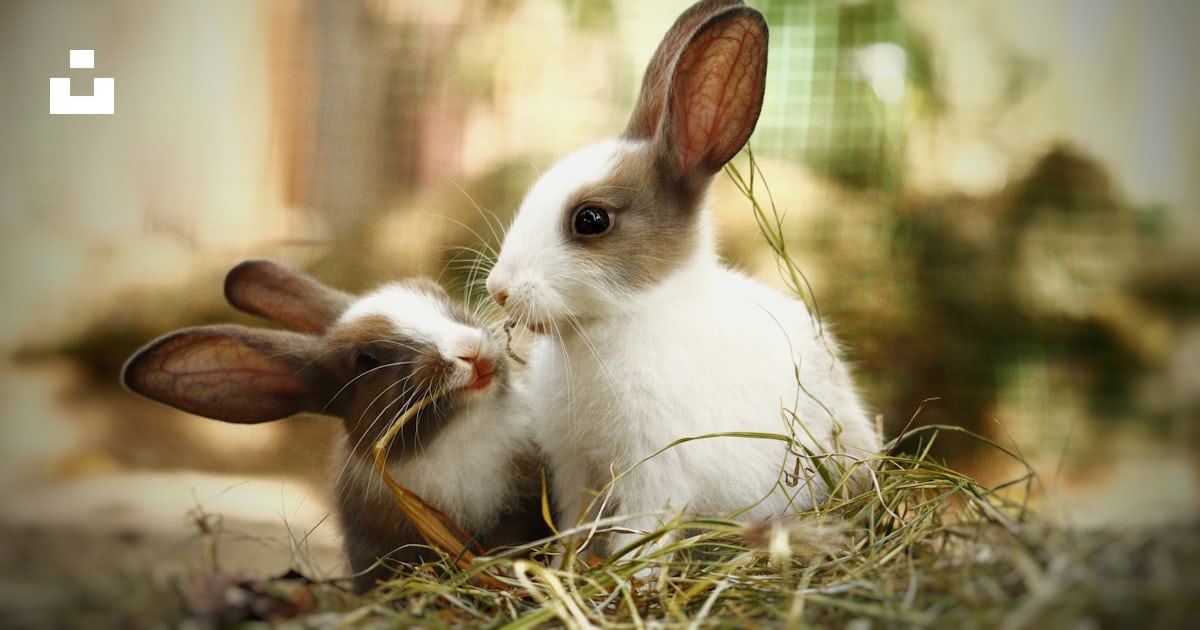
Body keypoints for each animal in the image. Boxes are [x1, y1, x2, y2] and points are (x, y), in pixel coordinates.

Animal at [485, 0, 880, 560]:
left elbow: (640, 535)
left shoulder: (656, 471)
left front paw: (628, 575)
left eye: (591, 220)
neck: (626, 318)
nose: (498, 288)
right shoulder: (573, 468)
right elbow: (573, 525)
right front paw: (566, 566)